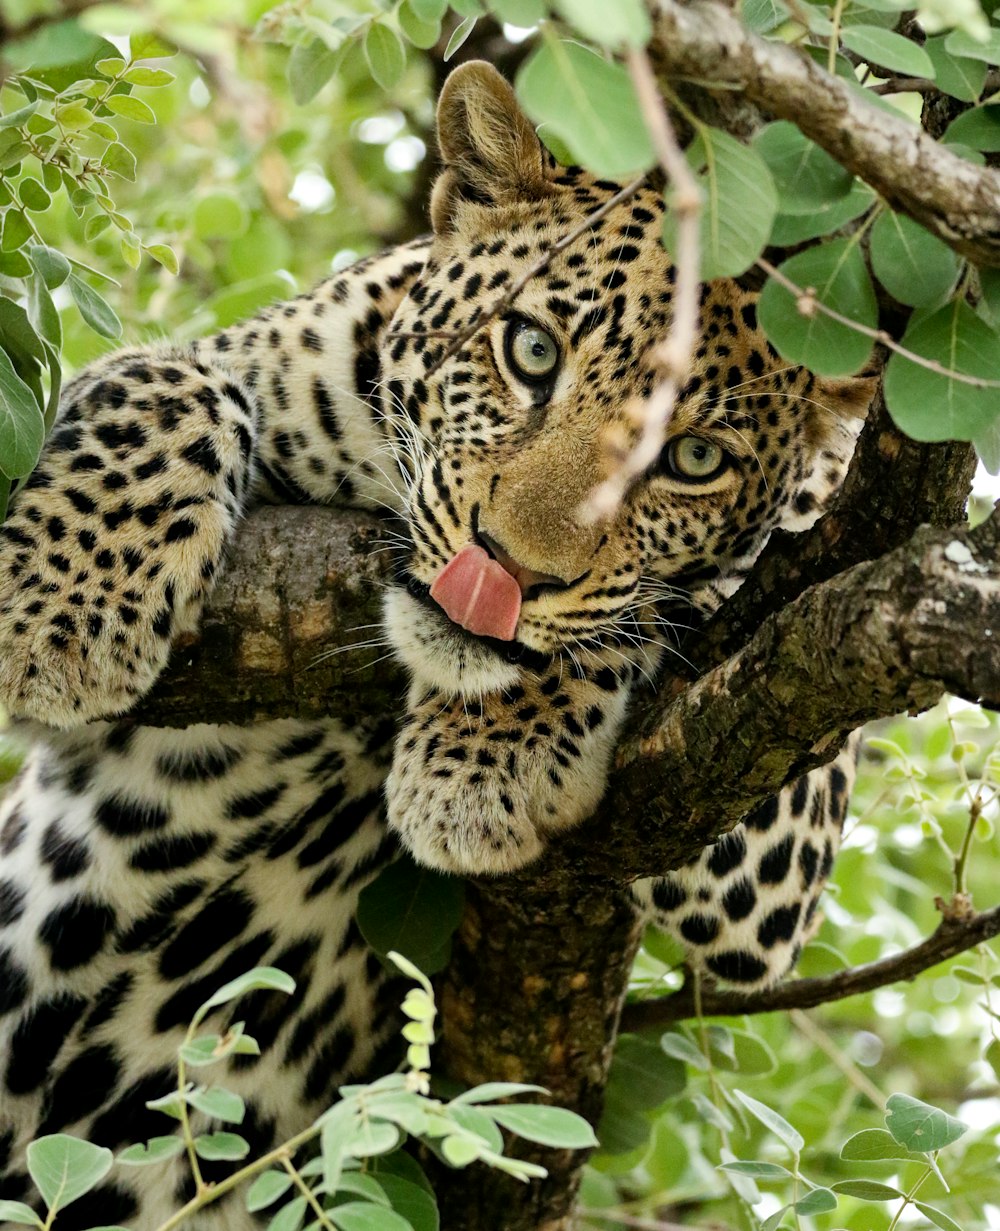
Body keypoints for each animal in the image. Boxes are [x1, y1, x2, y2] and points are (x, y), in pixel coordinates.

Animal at [0, 60, 871, 1231]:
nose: (507, 568)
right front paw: (54, 617)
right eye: (531, 352)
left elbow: (664, 606)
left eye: (694, 458)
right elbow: (155, 382)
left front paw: (488, 763)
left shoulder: (773, 862)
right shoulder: (242, 361)